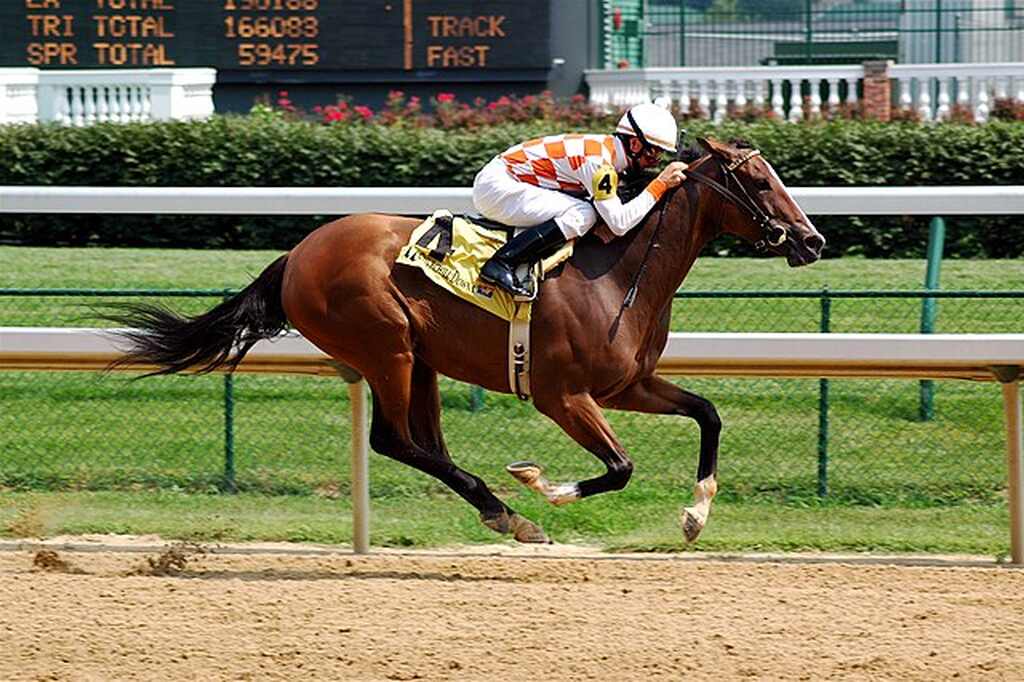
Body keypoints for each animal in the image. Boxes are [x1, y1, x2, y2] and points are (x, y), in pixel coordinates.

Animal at [105, 137, 823, 540]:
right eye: (758, 181)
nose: (813, 240)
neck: (619, 270)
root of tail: (298, 253)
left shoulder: (627, 384)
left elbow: (708, 414)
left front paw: (696, 515)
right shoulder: (563, 396)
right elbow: (620, 468)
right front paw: (540, 483)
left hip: (420, 359)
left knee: (425, 444)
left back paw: (499, 512)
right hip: (385, 346)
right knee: (395, 441)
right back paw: (511, 513)